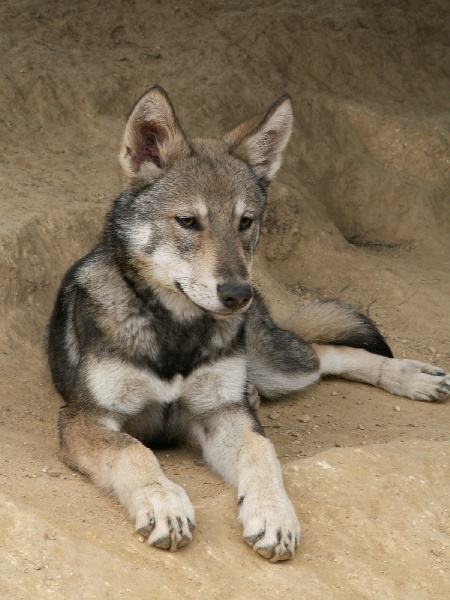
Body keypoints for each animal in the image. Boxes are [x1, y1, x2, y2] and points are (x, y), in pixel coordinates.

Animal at [46, 88, 450, 564]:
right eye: (188, 221)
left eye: (245, 222)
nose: (238, 294)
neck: (176, 332)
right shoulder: (86, 418)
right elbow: (134, 453)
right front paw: (163, 502)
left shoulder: (222, 414)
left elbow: (261, 450)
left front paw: (274, 515)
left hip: (280, 366)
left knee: (327, 353)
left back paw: (411, 376)